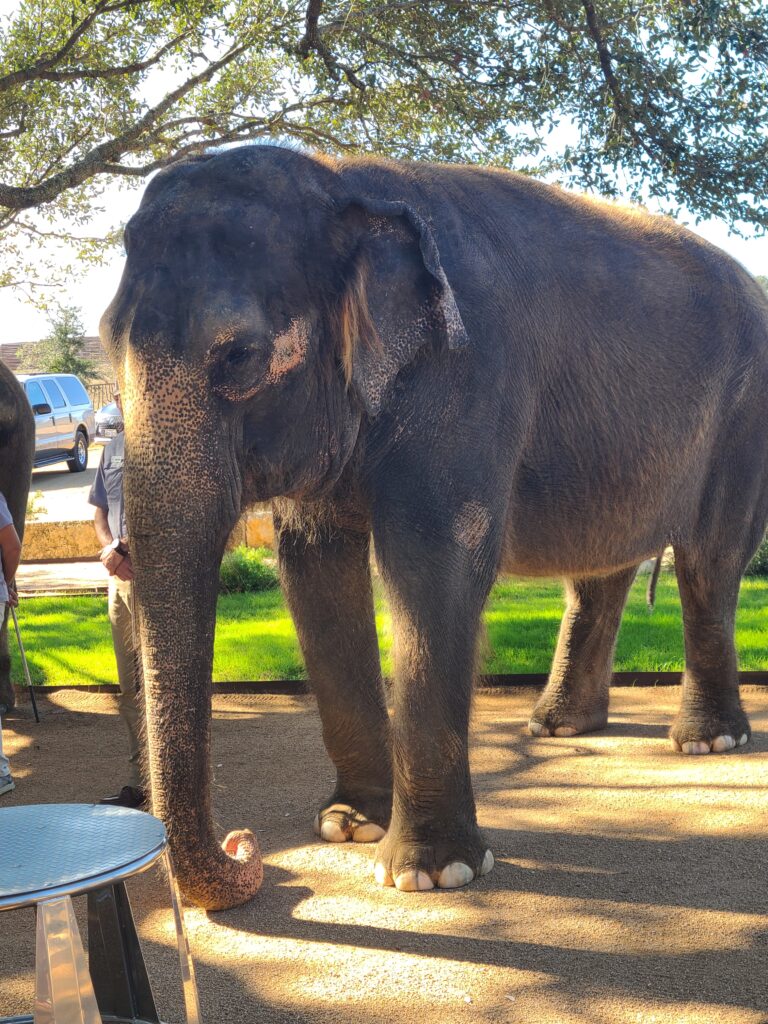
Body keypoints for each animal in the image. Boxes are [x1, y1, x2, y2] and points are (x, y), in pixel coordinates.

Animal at [100, 144, 768, 911]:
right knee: (600, 572)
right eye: (104, 341)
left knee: (709, 559)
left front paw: (428, 873)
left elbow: (434, 563)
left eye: (238, 355)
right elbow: (313, 569)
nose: (246, 845)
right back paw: (559, 725)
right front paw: (349, 824)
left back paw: (707, 743)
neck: (343, 181)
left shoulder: (469, 373)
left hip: (745, 415)